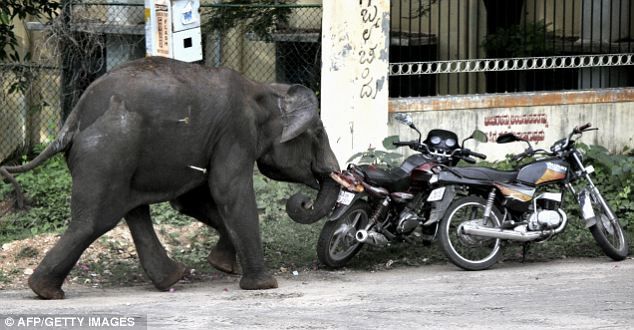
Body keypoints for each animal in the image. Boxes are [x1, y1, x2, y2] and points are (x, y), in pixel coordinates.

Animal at [0, 56, 340, 300]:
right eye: (318, 133)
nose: (303, 200)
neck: (264, 89)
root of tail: (72, 119)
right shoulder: (236, 132)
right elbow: (228, 190)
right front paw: (265, 285)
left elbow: (191, 200)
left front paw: (221, 265)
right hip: (108, 150)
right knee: (96, 219)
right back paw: (46, 291)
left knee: (131, 210)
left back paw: (171, 278)